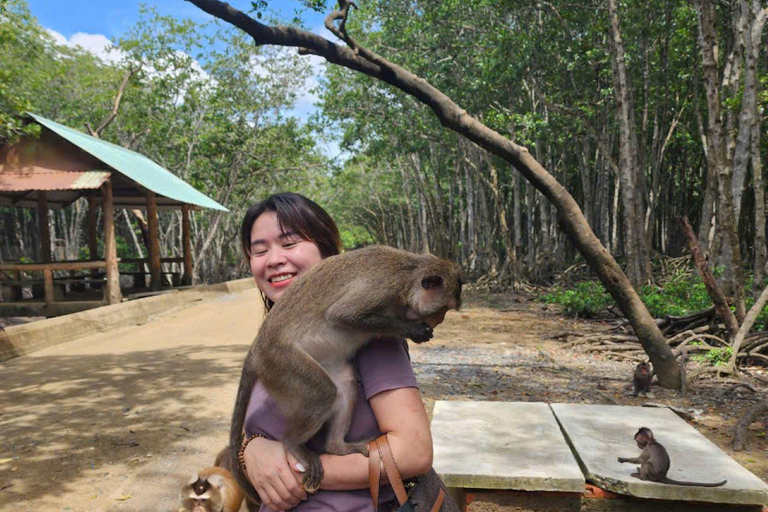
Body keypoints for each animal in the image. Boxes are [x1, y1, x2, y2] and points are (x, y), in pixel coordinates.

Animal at [228, 246, 462, 502]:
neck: (408, 275)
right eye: (443, 309)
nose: (440, 319)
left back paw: (336, 447)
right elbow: (344, 314)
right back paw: (293, 444)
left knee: (344, 384)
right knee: (322, 392)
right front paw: (412, 330)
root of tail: (256, 348)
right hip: (278, 360)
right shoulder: (386, 286)